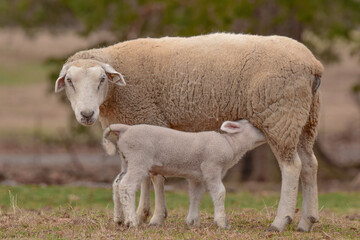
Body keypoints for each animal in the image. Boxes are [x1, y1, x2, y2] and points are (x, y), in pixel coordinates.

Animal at [102, 120, 266, 229]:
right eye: (256, 126)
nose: (266, 134)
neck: (230, 145)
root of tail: (124, 129)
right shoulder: (211, 168)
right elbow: (220, 192)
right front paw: (222, 222)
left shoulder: (197, 176)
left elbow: (195, 195)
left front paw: (192, 221)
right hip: (139, 159)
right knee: (126, 186)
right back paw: (132, 221)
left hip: (126, 160)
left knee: (117, 184)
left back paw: (119, 219)